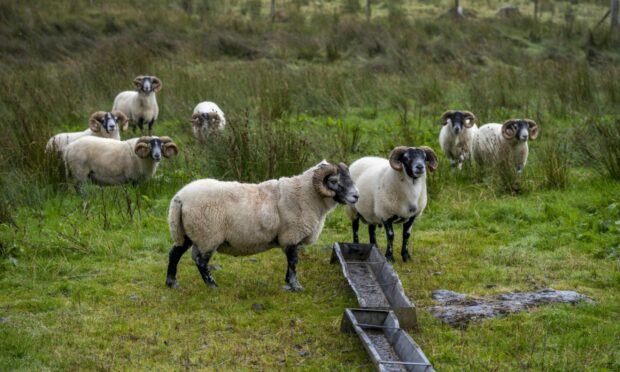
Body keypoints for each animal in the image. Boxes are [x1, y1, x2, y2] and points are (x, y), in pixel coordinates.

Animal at [165, 161, 358, 292]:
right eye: (334, 181)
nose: (356, 196)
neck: (306, 195)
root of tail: (180, 198)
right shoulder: (292, 235)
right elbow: (294, 262)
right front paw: (296, 287)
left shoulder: (292, 240)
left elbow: (291, 262)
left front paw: (288, 283)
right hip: (208, 235)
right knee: (201, 261)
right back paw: (212, 285)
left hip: (187, 233)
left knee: (174, 254)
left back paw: (172, 283)